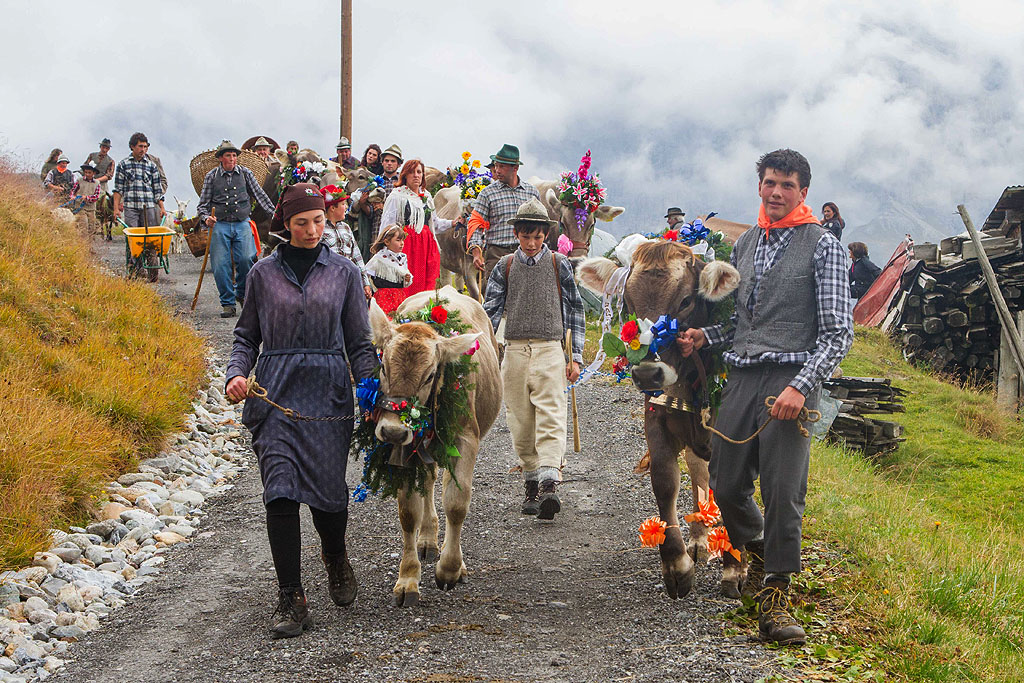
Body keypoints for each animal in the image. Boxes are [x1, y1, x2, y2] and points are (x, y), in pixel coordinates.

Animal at [360, 286, 503, 606]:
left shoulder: (466, 439)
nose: (392, 430)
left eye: (428, 375)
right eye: (383, 366)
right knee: (427, 480)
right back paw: (426, 540)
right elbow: (408, 512)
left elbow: (457, 503)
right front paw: (408, 579)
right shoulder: (403, 447)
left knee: (444, 481)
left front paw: (449, 569)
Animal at [581, 240, 741, 598]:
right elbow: (665, 482)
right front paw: (677, 565)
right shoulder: (656, 419)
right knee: (697, 470)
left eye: (685, 301)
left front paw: (735, 567)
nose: (647, 373)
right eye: (627, 302)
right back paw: (698, 539)